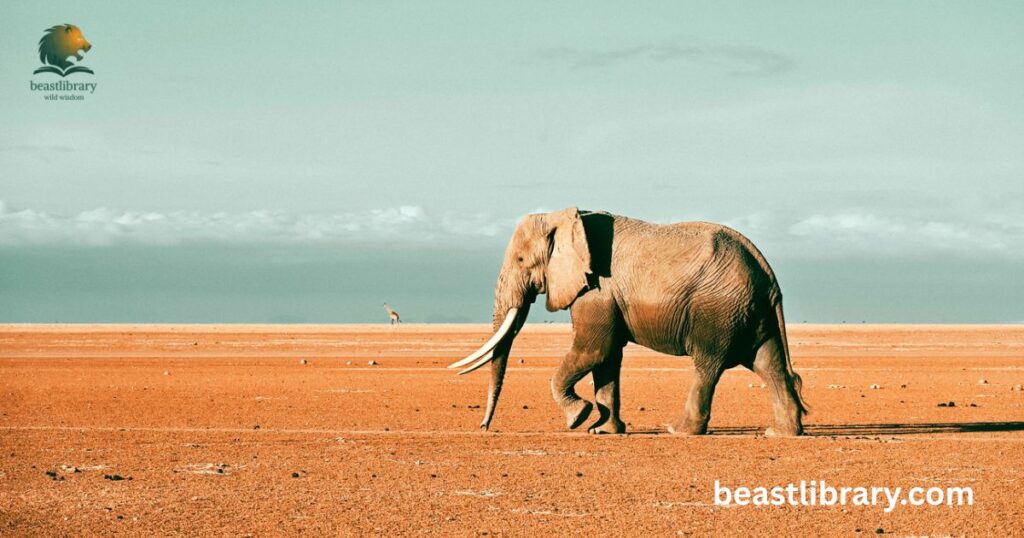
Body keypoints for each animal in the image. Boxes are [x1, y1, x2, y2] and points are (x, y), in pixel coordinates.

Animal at [449, 207, 809, 436]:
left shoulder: (596, 289)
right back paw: (780, 433)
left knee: (708, 366)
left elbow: (594, 349)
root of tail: (767, 271)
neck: (564, 218)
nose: (484, 428)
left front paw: (578, 418)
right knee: (769, 364)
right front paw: (602, 430)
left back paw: (678, 431)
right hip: (749, 311)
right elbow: (607, 357)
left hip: (718, 309)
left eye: (522, 259)